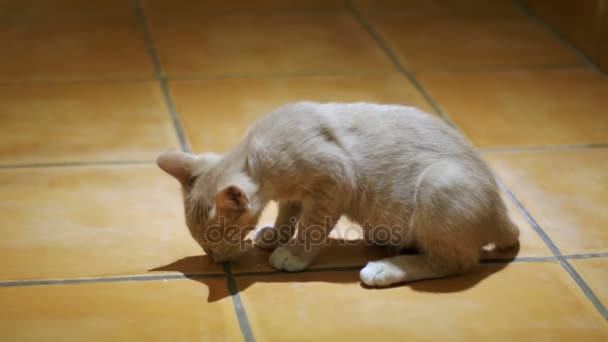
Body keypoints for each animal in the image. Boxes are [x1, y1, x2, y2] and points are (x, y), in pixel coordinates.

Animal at [156, 101, 516, 286]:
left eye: (216, 240)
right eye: (204, 245)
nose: (216, 260)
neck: (256, 153)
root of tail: (504, 216)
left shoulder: (335, 180)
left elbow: (312, 225)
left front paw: (294, 252)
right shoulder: (293, 194)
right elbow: (288, 214)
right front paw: (276, 235)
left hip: (439, 183)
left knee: (456, 261)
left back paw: (387, 268)